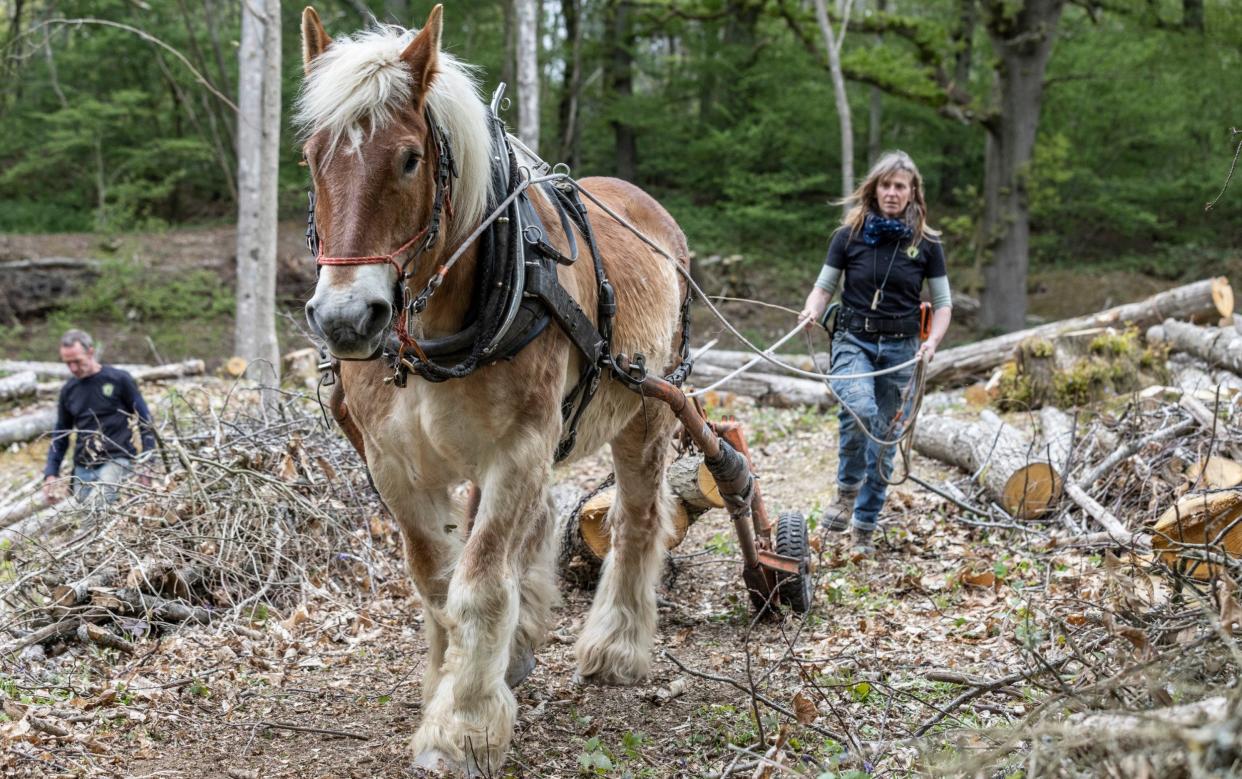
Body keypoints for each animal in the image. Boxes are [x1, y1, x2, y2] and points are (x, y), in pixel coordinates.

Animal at [296, 4, 695, 775]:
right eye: (311, 156)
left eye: (409, 158)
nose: (345, 319)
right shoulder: (395, 465)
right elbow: (437, 581)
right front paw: (451, 684)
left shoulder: (518, 448)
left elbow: (478, 586)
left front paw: (463, 726)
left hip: (646, 413)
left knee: (635, 519)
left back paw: (617, 644)